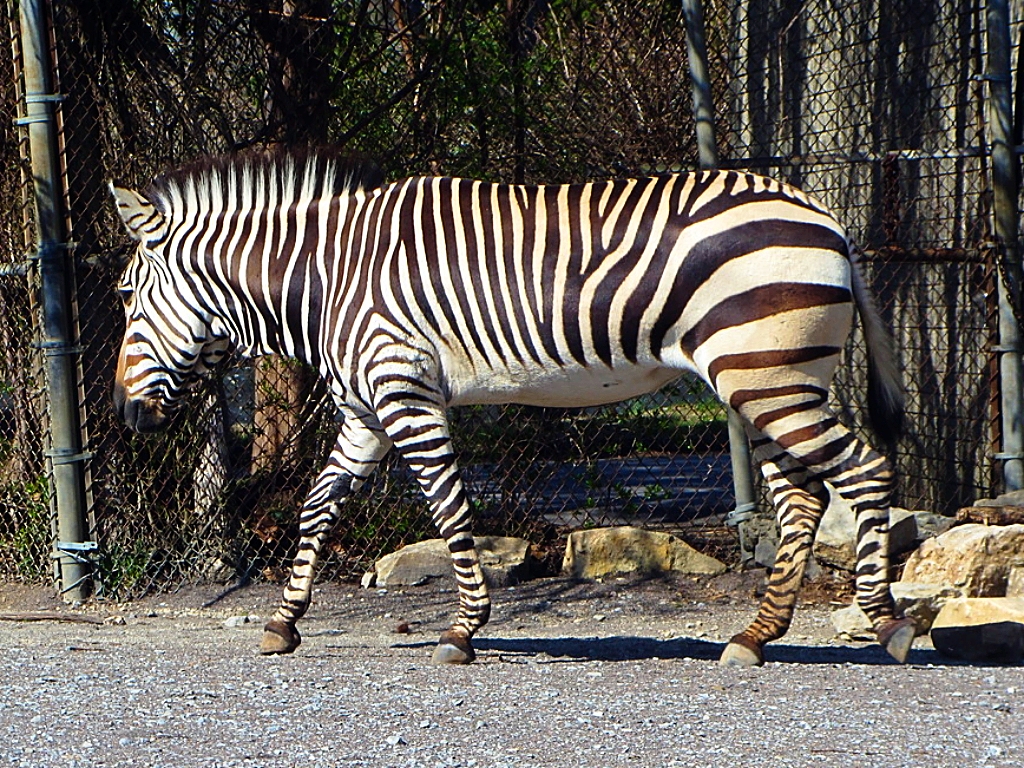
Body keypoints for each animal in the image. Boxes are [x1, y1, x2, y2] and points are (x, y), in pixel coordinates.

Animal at [110, 147, 915, 667]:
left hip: (767, 376)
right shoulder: (366, 412)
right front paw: (284, 621)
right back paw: (754, 637)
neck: (325, 278)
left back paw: (885, 624)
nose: (126, 416)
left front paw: (464, 629)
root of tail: (825, 218)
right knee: (805, 500)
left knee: (865, 473)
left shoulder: (406, 392)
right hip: (766, 381)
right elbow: (317, 509)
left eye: (123, 296)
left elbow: (447, 507)